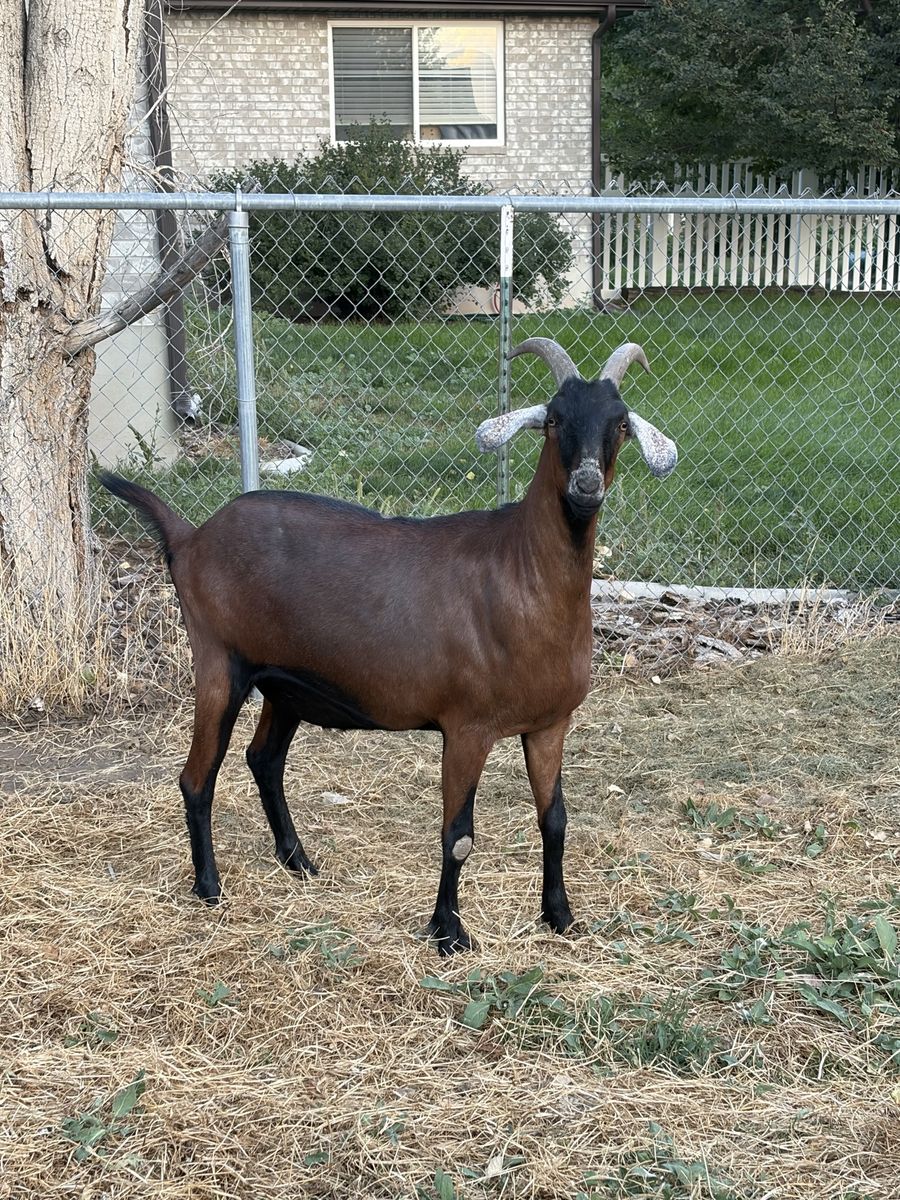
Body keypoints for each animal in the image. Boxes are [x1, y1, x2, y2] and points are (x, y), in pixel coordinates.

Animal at [100, 338, 676, 955]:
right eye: (553, 419)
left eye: (620, 424)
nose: (586, 485)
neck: (519, 573)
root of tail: (190, 538)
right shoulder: (467, 726)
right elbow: (458, 834)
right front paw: (448, 932)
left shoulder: (550, 724)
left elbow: (555, 819)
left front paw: (560, 916)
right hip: (219, 663)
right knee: (197, 777)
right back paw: (209, 886)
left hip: (285, 684)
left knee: (264, 759)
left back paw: (299, 861)